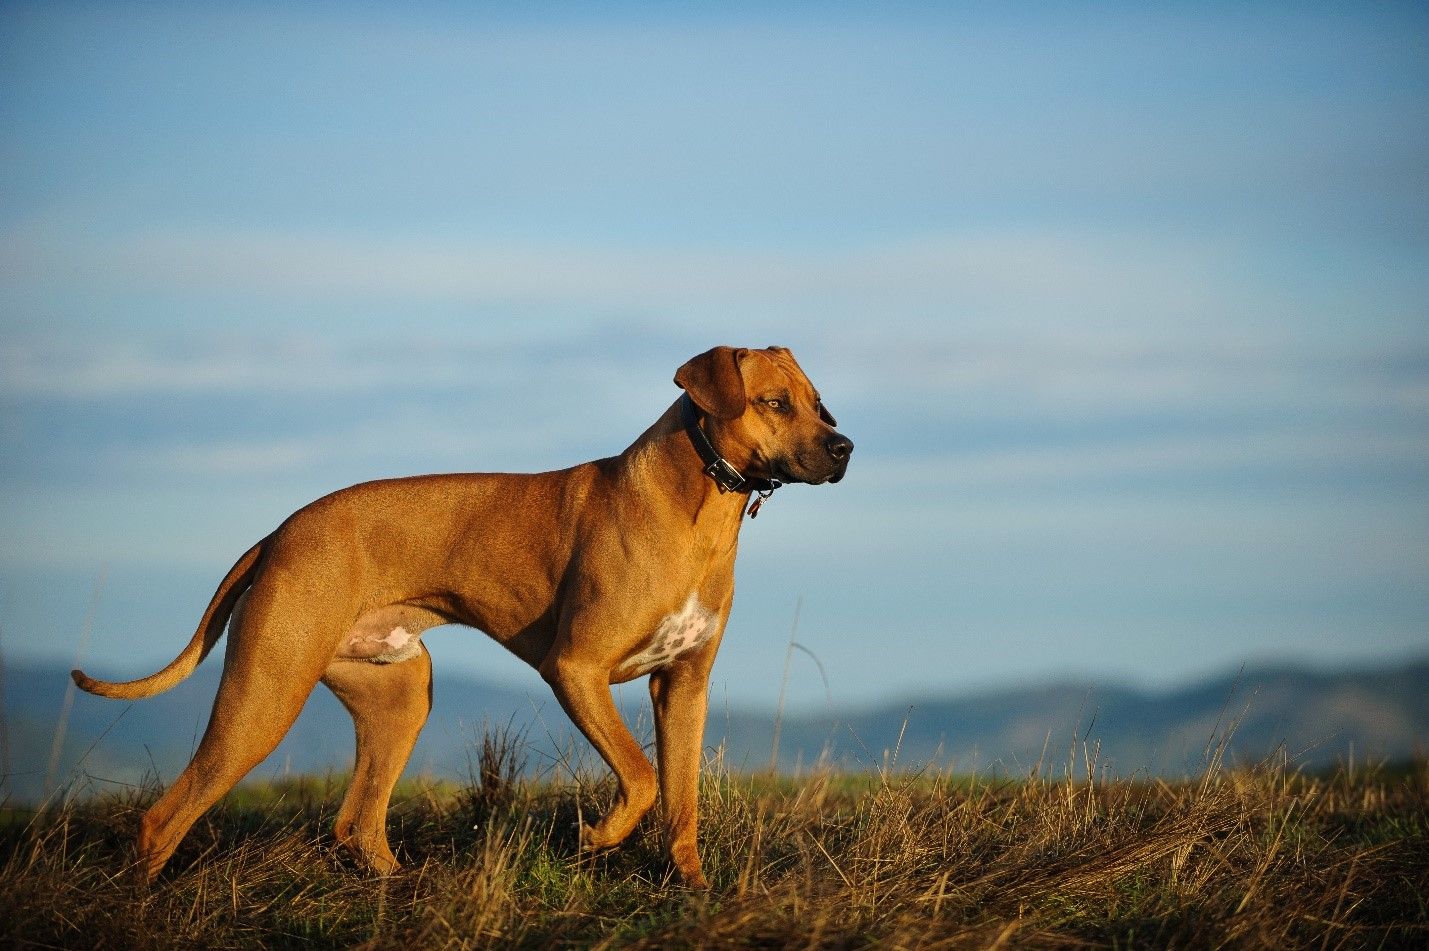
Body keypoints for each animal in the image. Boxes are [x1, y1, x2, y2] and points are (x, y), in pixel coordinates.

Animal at [72, 344, 845, 885]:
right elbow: (645, 777)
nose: (845, 448)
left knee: (357, 823)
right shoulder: (577, 669)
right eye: (775, 402)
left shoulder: (683, 684)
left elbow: (682, 798)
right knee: (163, 818)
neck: (698, 506)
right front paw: (599, 837)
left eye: (818, 404)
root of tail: (279, 532)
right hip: (264, 696)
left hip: (400, 696)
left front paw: (691, 887)